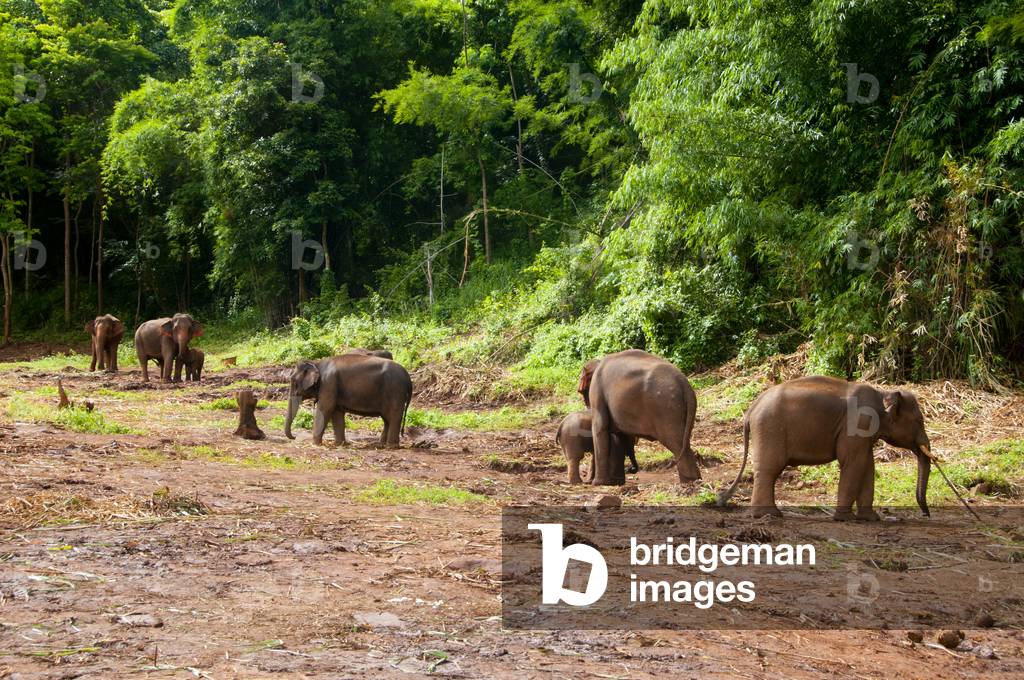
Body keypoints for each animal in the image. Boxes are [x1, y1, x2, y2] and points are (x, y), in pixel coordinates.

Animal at [284, 353, 412, 448]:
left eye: (293, 381)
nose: (294, 437)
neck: (316, 363)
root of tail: (408, 378)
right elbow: (336, 413)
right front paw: (340, 444)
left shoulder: (329, 383)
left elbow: (326, 409)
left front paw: (315, 444)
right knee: (387, 418)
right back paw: (381, 445)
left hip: (395, 390)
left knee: (394, 416)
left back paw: (391, 446)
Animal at [582, 350, 700, 486]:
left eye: (582, 391)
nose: (631, 469)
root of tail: (684, 382)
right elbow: (620, 436)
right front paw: (615, 482)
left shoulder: (597, 391)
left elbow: (600, 428)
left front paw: (598, 483)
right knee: (684, 444)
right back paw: (692, 481)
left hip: (665, 407)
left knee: (676, 443)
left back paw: (689, 482)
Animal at [716, 376, 933, 520]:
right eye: (919, 421)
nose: (926, 514)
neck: (883, 393)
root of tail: (751, 409)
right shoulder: (857, 424)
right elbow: (853, 462)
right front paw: (845, 519)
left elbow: (867, 465)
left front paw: (871, 519)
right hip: (770, 428)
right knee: (770, 469)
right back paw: (769, 515)